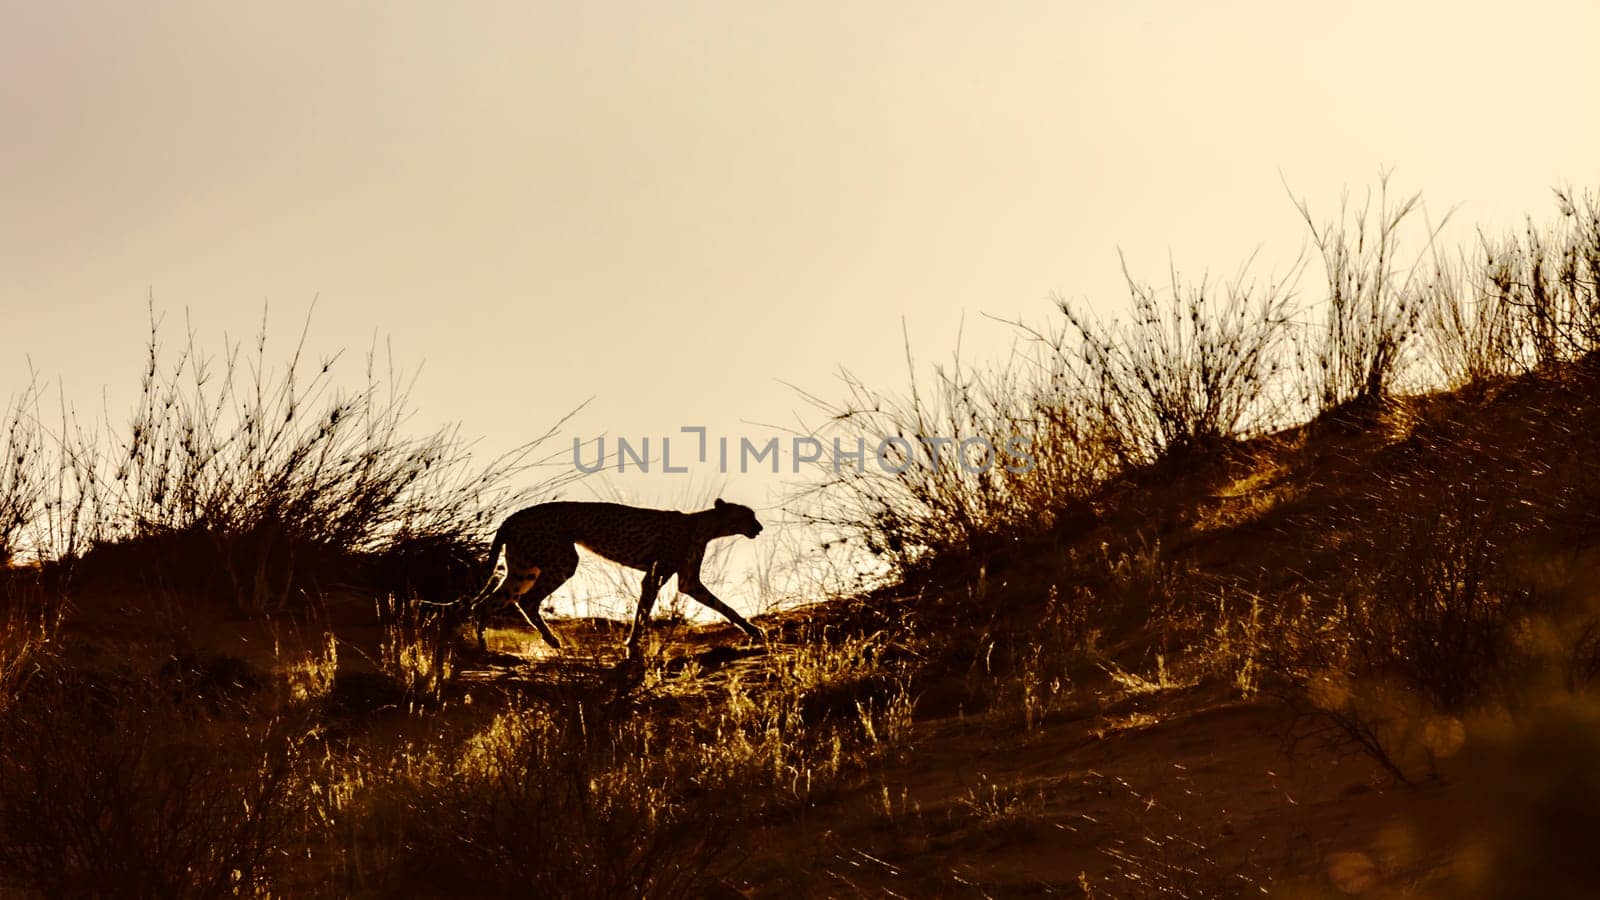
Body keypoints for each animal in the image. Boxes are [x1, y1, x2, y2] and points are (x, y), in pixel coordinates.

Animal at [467, 496, 764, 650]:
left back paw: (483, 649)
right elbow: (643, 610)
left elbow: (723, 606)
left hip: (524, 570)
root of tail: (512, 516)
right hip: (562, 560)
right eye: (747, 516)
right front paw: (632, 645)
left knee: (484, 603)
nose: (759, 528)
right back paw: (550, 640)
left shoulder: (689, 581)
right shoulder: (655, 574)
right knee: (525, 600)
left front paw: (752, 630)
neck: (707, 525)